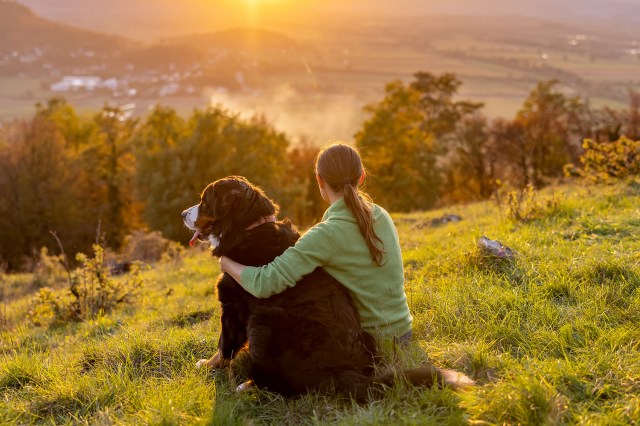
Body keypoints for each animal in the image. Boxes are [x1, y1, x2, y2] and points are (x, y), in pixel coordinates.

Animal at [182, 175, 472, 398]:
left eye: (205, 200)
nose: (183, 213)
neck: (248, 228)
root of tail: (346, 372)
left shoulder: (234, 307)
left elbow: (224, 345)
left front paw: (207, 365)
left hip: (264, 319)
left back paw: (247, 386)